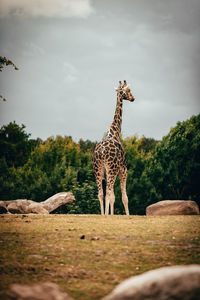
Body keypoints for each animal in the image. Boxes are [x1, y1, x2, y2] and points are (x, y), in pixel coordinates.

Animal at [93, 81, 135, 214]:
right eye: (128, 90)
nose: (133, 98)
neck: (115, 132)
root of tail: (101, 152)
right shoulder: (123, 168)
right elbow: (124, 197)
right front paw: (127, 215)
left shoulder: (108, 170)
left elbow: (113, 196)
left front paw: (112, 214)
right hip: (111, 169)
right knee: (108, 192)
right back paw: (106, 215)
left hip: (98, 169)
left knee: (101, 193)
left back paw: (103, 215)